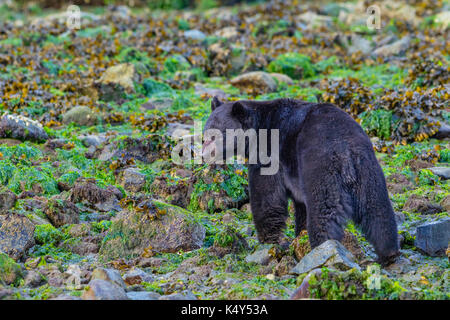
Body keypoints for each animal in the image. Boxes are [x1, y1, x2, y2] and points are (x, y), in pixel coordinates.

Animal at [202, 97, 400, 264]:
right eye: (205, 135)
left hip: (321, 169)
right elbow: (301, 206)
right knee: (377, 209)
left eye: (215, 136)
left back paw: (323, 249)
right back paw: (388, 252)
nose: (203, 155)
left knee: (323, 213)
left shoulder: (270, 155)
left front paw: (269, 241)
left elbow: (267, 196)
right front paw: (298, 236)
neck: (257, 130)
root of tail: (345, 149)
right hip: (368, 170)